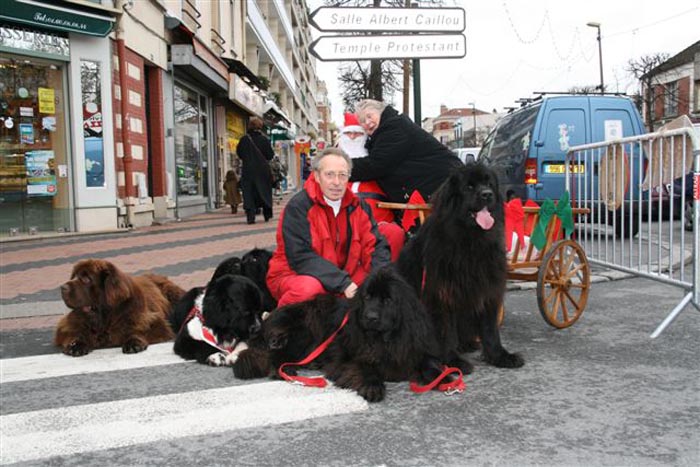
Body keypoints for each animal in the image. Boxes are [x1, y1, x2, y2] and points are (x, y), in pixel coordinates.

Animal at [56, 262, 185, 356]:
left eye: (86, 279)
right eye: (74, 277)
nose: (62, 287)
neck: (106, 317)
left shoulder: (153, 321)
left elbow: (140, 330)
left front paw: (133, 342)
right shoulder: (68, 324)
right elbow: (76, 332)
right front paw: (76, 345)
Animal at [396, 164, 524, 372]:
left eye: (489, 184)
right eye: (469, 187)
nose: (487, 194)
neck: (471, 241)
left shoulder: (488, 289)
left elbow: (490, 329)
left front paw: (499, 356)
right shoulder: (441, 294)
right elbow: (446, 331)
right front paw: (452, 360)